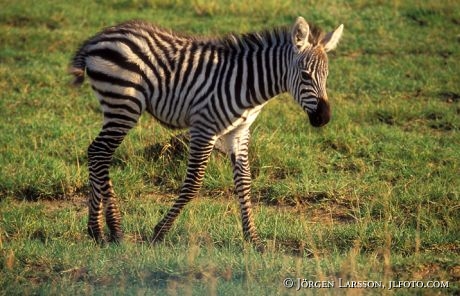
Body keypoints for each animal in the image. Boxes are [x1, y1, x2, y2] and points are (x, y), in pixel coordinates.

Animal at [68, 16, 342, 250]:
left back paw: (98, 230)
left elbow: (244, 182)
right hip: (124, 104)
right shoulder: (204, 128)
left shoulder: (239, 133)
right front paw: (159, 233)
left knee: (96, 153)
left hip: (117, 107)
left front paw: (253, 239)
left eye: (327, 76)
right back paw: (111, 230)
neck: (248, 84)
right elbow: (193, 183)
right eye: (305, 75)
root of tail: (100, 37)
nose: (324, 118)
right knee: (100, 152)